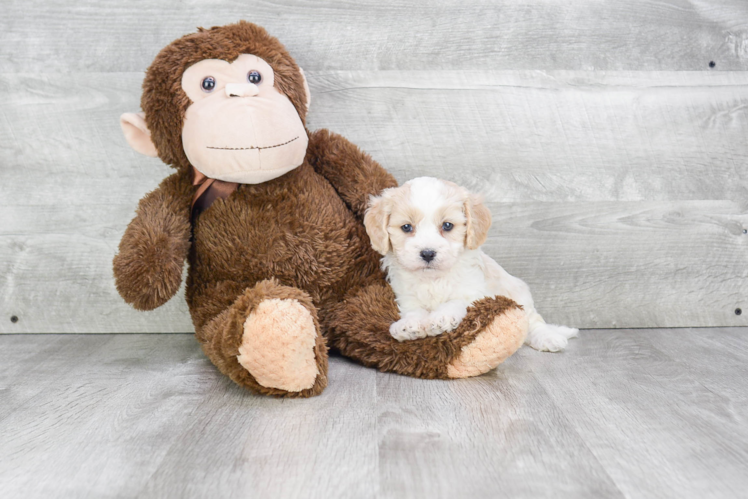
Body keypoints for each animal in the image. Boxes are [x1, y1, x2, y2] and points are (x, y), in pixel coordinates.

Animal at [362, 176, 580, 352]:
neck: (433, 279)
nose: (427, 253)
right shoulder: (407, 296)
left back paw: (548, 338)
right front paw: (409, 324)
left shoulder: (474, 292)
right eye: (407, 227)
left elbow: (455, 302)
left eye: (447, 226)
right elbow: (414, 310)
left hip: (521, 297)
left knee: (534, 322)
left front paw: (440, 318)